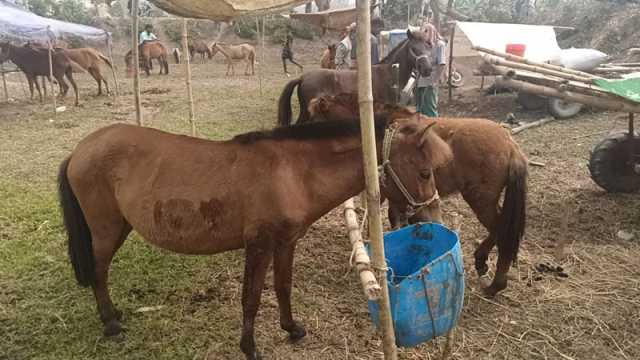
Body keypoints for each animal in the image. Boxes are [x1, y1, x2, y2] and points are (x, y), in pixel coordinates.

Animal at [308, 93, 528, 298]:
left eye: (314, 122)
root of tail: (511, 146)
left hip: (481, 200)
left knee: (501, 230)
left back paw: (495, 284)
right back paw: (482, 263)